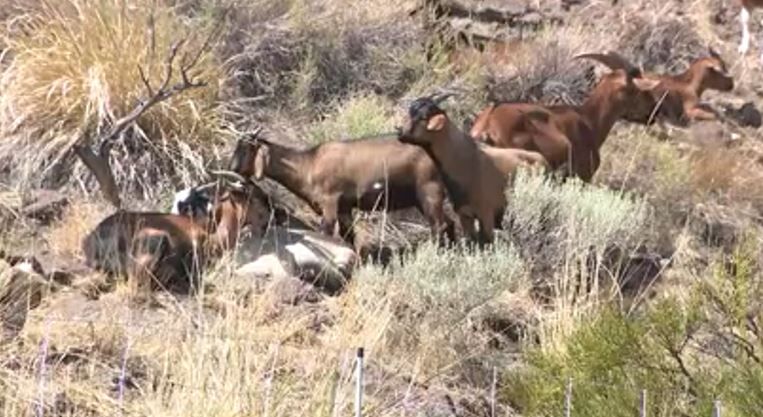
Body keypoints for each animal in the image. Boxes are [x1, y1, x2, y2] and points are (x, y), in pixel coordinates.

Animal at [228, 130, 456, 246]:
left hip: (429, 191)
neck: (308, 164)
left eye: (244, 149)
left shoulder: (330, 202)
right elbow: (349, 237)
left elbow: (327, 232)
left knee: (440, 226)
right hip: (422, 199)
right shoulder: (345, 207)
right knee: (450, 223)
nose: (231, 169)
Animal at [397, 93, 549, 245]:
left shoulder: (486, 214)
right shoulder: (464, 214)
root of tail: (541, 159)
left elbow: (487, 240)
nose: (400, 131)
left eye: (422, 117)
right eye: (410, 112)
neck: (468, 162)